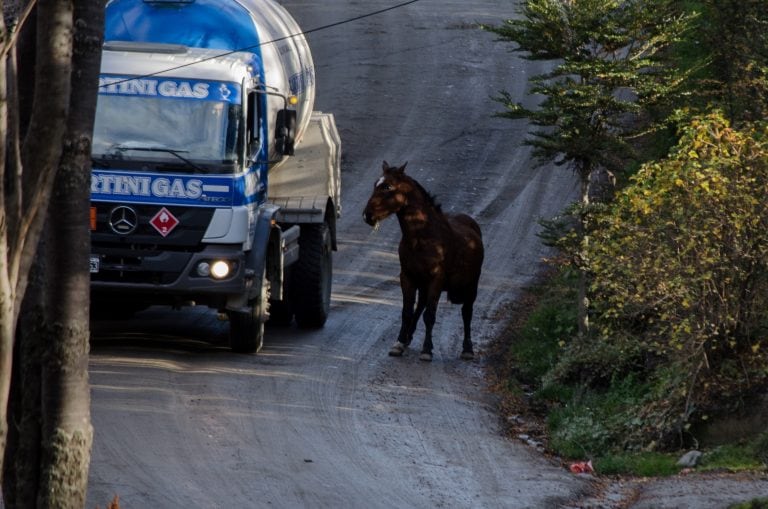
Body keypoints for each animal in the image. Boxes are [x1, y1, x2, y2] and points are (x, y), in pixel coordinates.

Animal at [364, 161, 484, 360]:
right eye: (375, 184)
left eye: (387, 187)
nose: (368, 215)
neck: (422, 237)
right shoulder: (408, 277)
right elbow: (407, 312)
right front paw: (399, 343)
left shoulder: (437, 279)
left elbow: (430, 315)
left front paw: (427, 350)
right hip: (423, 284)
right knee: (419, 306)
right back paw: (408, 338)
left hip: (471, 285)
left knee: (467, 312)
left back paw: (467, 349)